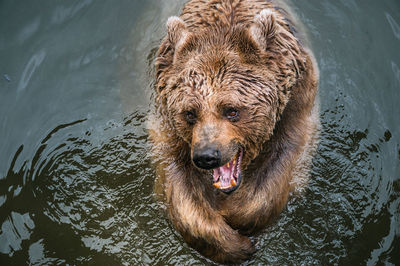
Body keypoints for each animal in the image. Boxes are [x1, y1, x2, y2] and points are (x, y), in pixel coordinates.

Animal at [149, 0, 318, 262]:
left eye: (231, 110)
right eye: (190, 113)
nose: (207, 156)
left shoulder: (297, 106)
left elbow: (280, 167)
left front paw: (241, 217)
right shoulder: (166, 123)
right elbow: (179, 190)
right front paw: (231, 244)